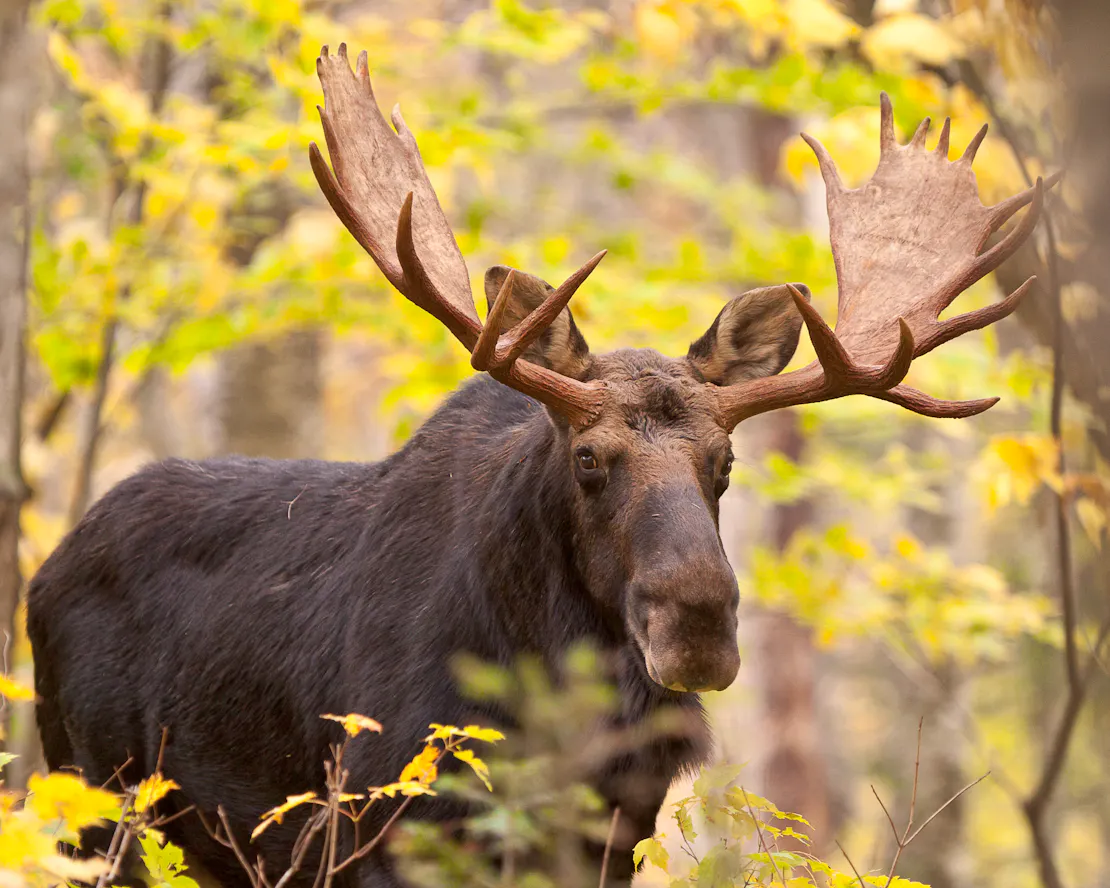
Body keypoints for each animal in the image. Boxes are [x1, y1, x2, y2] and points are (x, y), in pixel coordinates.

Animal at [27, 44, 1055, 887]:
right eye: (590, 456)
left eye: (724, 462)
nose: (698, 625)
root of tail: (43, 571)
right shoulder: (385, 818)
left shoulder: (616, 829)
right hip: (90, 798)